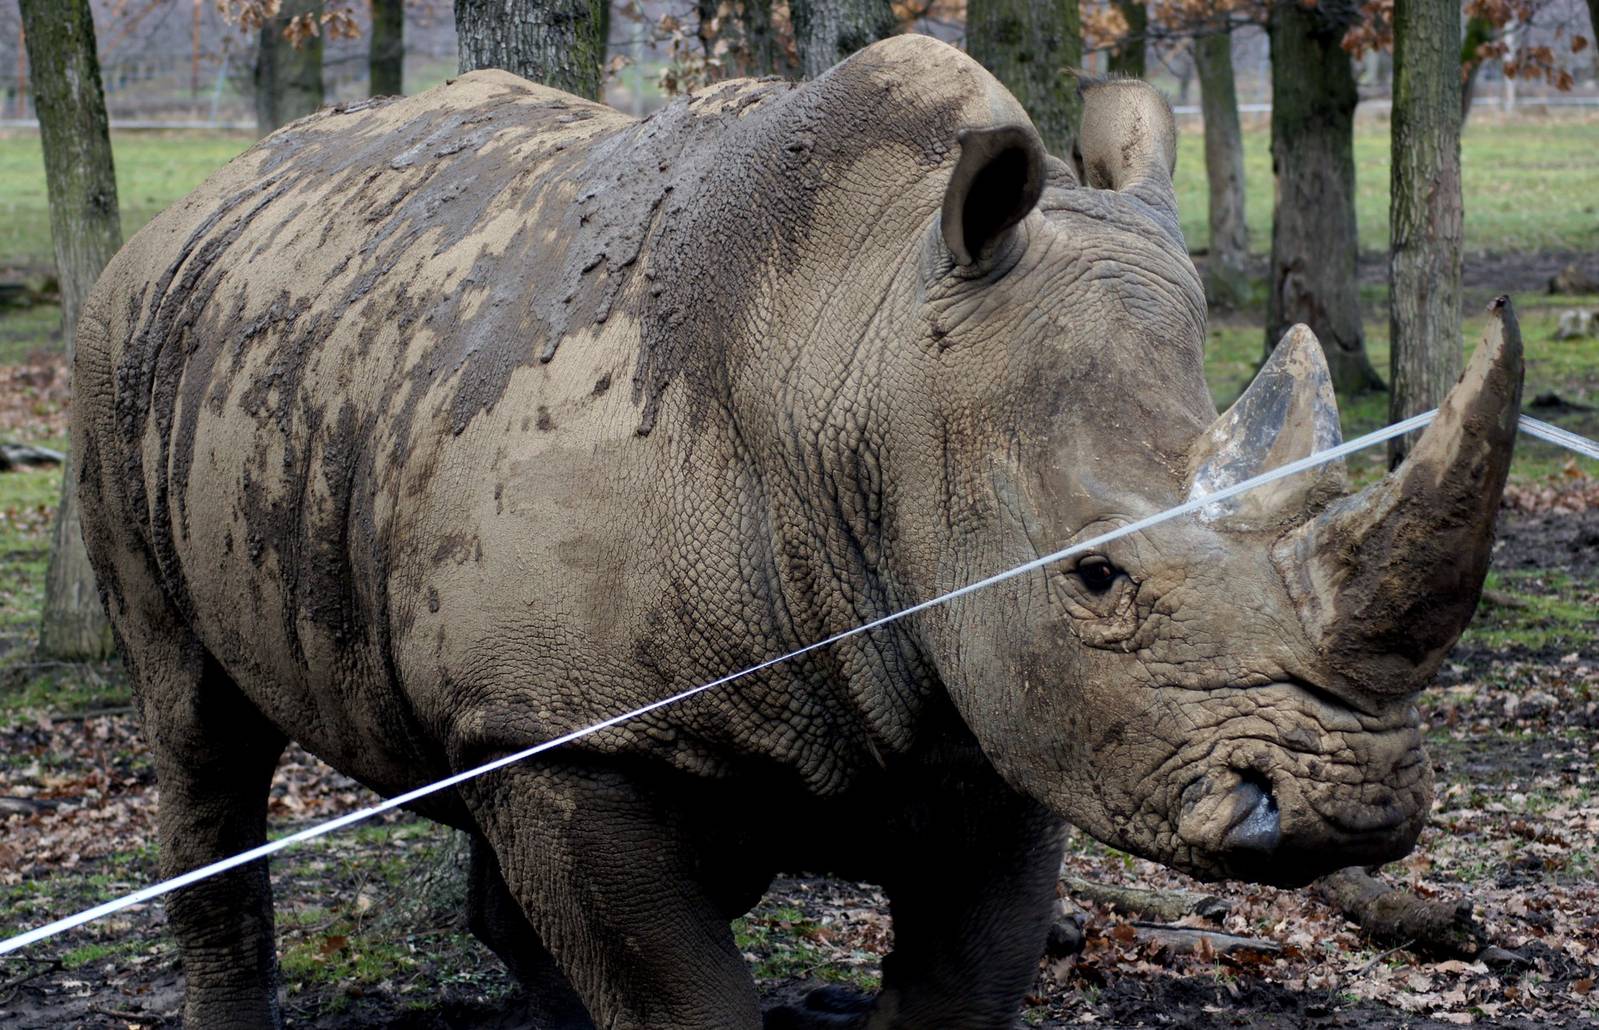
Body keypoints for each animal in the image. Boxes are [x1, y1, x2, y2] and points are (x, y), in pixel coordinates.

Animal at [73, 35, 1522, 1030]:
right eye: (1095, 574)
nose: (1352, 805)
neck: (869, 365)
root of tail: (207, 198)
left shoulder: (994, 697)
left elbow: (961, 982)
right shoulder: (575, 729)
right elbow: (683, 999)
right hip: (123, 347)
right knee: (195, 728)